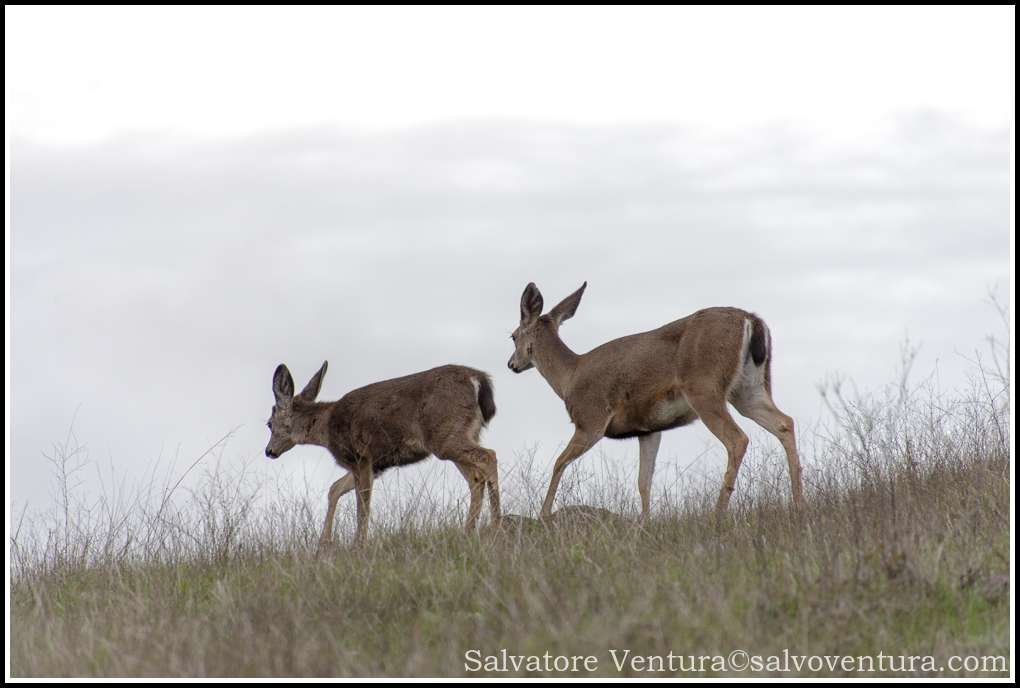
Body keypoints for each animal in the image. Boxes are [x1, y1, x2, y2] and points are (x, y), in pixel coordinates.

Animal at [265, 362, 499, 546]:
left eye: (268, 424)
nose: (269, 451)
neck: (327, 426)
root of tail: (477, 379)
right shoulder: (375, 465)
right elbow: (335, 489)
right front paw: (324, 543)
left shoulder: (359, 456)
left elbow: (362, 505)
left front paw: (358, 544)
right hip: (461, 435)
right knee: (475, 478)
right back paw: (469, 531)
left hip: (445, 436)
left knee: (489, 457)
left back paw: (496, 523)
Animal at [510, 283, 803, 519]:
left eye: (512, 336)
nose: (512, 364)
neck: (570, 376)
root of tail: (751, 319)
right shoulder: (648, 429)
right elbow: (644, 480)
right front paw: (644, 522)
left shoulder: (590, 419)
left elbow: (559, 462)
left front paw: (544, 514)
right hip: (748, 389)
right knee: (784, 422)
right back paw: (798, 500)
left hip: (704, 388)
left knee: (737, 438)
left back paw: (717, 514)